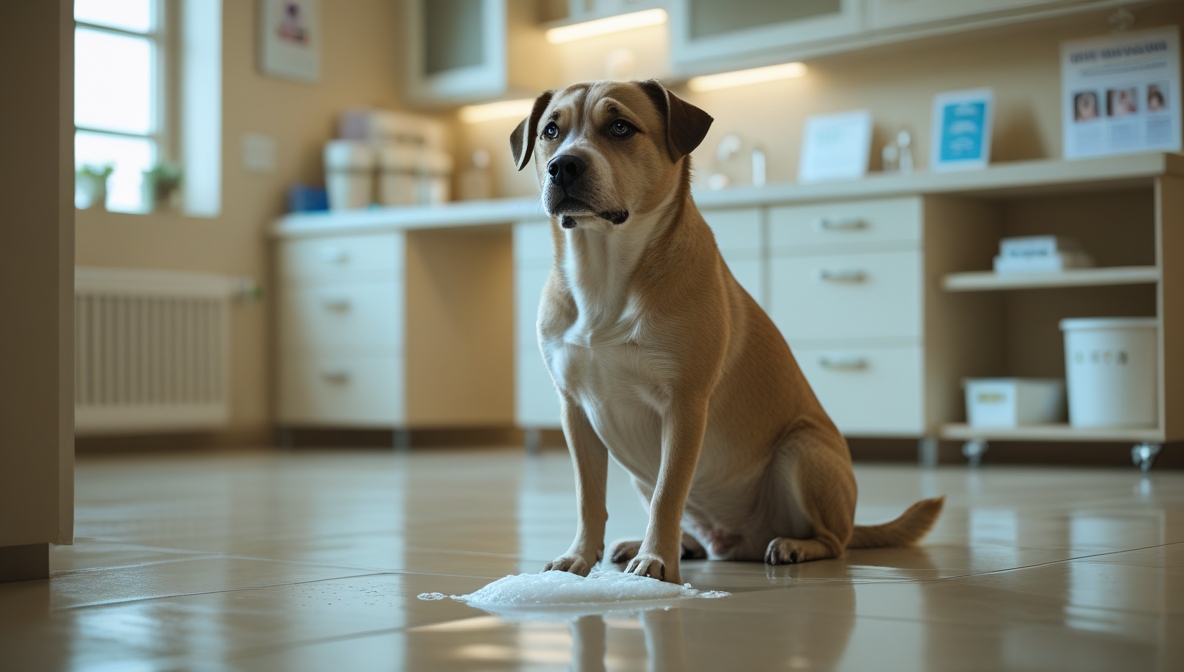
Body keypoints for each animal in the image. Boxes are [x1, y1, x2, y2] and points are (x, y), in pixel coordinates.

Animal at [509, 78, 942, 582]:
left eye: (620, 127)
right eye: (550, 131)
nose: (563, 166)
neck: (603, 272)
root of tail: (739, 543)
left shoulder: (684, 404)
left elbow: (668, 494)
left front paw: (656, 559)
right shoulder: (575, 410)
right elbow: (588, 497)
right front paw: (579, 556)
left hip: (802, 449)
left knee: (834, 541)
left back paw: (793, 545)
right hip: (643, 471)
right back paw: (678, 544)